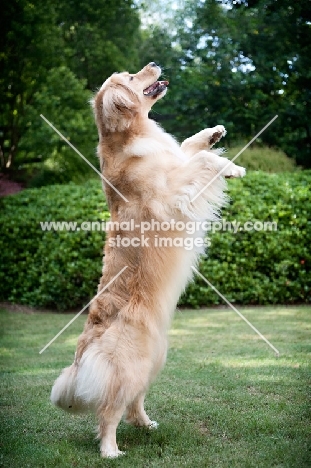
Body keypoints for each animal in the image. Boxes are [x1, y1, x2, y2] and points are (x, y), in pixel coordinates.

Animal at [51, 61, 246, 458]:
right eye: (130, 77)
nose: (154, 64)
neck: (133, 134)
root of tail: (83, 353)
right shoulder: (170, 196)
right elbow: (201, 161)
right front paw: (230, 166)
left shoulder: (177, 163)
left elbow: (188, 148)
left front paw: (213, 134)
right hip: (127, 368)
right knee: (109, 412)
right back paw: (111, 450)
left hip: (154, 362)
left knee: (133, 402)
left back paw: (146, 424)